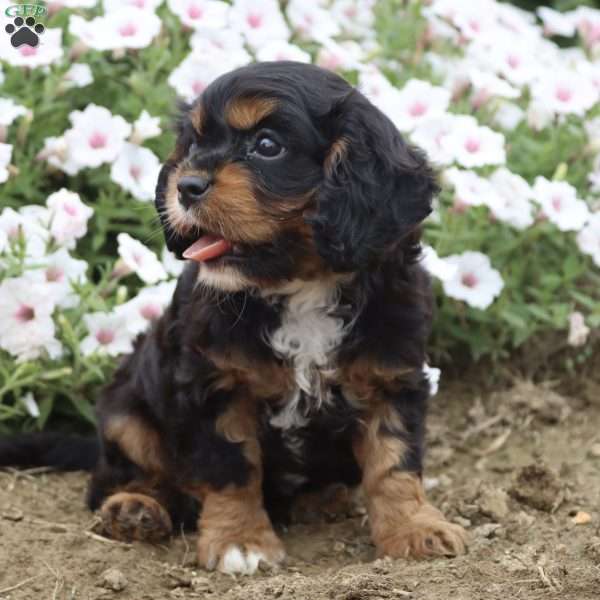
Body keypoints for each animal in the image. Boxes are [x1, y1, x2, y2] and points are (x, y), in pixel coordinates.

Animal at [1, 62, 468, 576]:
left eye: (267, 145)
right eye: (194, 145)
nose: (185, 186)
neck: (298, 288)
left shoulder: (392, 376)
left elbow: (395, 461)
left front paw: (415, 529)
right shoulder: (215, 384)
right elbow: (231, 466)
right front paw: (239, 541)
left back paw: (324, 499)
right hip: (125, 412)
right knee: (119, 476)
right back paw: (136, 509)